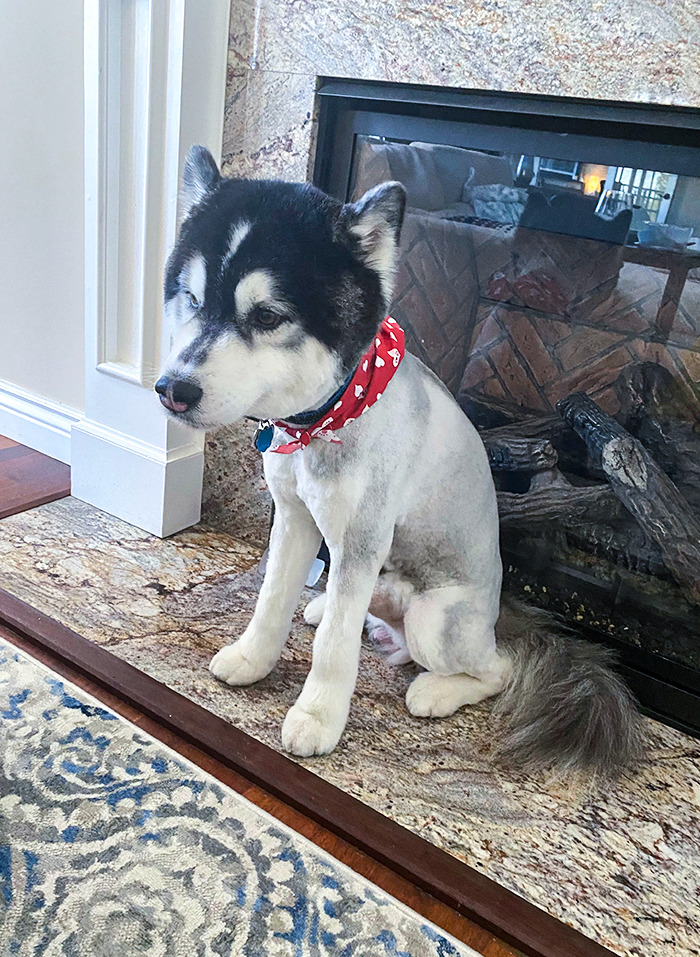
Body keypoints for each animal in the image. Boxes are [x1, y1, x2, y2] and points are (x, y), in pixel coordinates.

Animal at [157, 146, 644, 780]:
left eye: (265, 316)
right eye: (192, 298)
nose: (172, 390)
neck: (328, 417)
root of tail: (499, 617)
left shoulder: (362, 541)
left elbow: (334, 647)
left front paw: (318, 717)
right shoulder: (294, 521)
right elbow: (272, 599)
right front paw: (252, 657)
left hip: (436, 619)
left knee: (494, 669)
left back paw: (436, 689)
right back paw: (327, 611)